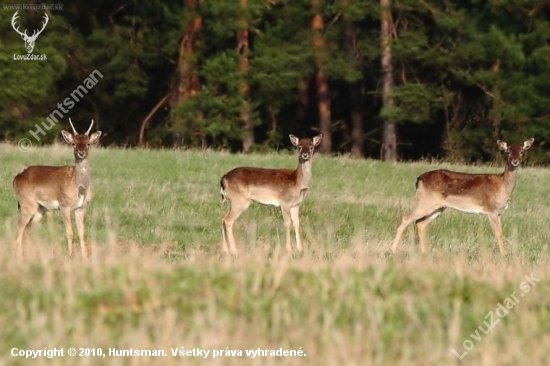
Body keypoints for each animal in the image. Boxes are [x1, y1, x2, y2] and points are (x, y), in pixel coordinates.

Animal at [13, 118, 102, 258]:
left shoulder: (81, 208)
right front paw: (70, 256)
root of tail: (16, 178)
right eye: (73, 143)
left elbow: (82, 234)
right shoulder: (64, 206)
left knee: (27, 230)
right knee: (18, 230)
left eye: (88, 143)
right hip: (26, 204)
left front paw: (85, 257)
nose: (81, 153)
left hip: (40, 209)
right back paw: (19, 257)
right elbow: (69, 233)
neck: (79, 187)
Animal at [394, 139, 536, 256]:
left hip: (438, 207)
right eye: (507, 151)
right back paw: (393, 249)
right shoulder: (491, 210)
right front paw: (503, 255)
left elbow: (501, 232)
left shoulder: (499, 212)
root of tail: (418, 180)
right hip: (426, 202)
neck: (502, 187)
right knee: (406, 218)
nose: (515, 161)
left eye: (522, 151)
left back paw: (425, 252)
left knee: (420, 223)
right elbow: (498, 234)